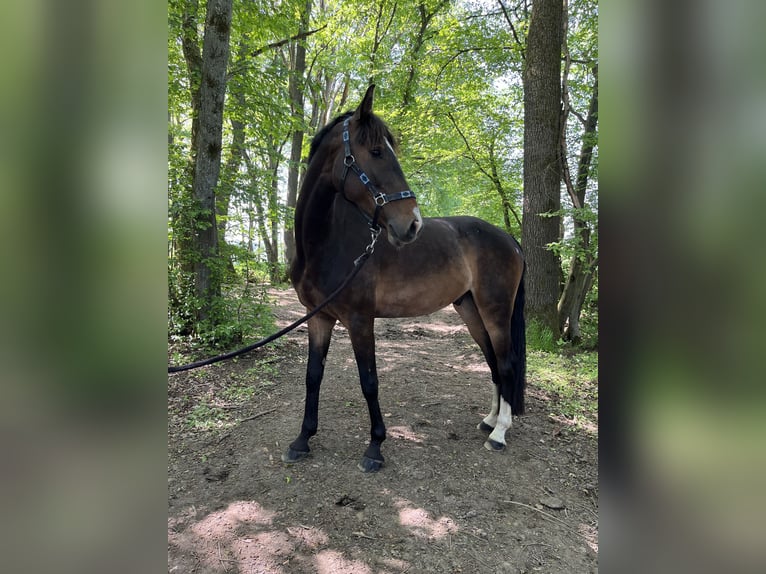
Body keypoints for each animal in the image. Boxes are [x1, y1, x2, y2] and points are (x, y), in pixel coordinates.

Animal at [284, 84, 528, 472]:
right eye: (376, 151)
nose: (412, 223)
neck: (325, 243)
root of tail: (509, 239)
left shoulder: (360, 320)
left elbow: (369, 381)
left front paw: (375, 447)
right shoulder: (318, 318)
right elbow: (313, 377)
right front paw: (302, 439)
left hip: (496, 310)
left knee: (506, 363)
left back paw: (499, 433)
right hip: (470, 309)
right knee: (492, 360)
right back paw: (489, 421)